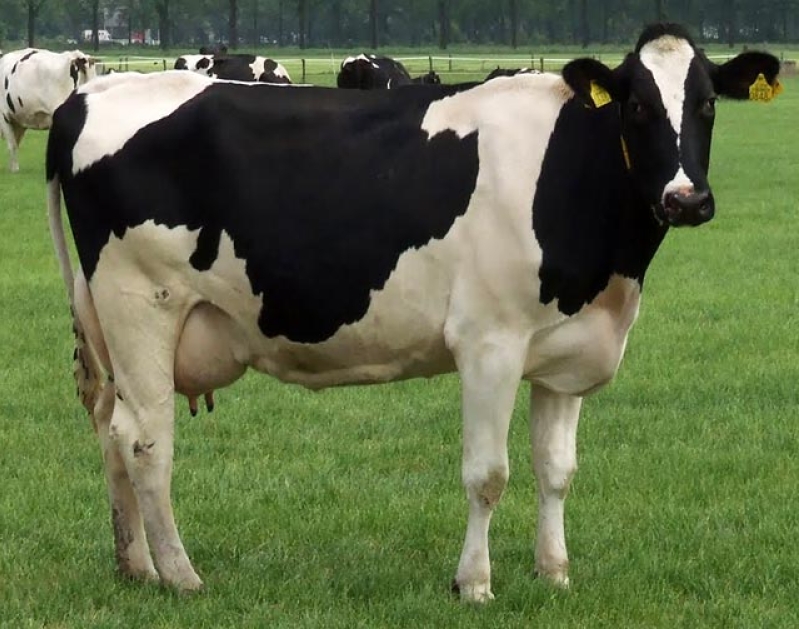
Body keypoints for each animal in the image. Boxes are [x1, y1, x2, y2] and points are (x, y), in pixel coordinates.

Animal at [46, 24, 779, 602]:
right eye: (636, 105)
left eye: (707, 103)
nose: (686, 198)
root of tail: (91, 94)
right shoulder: (489, 344)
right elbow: (488, 474)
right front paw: (474, 583)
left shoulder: (565, 350)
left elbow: (556, 470)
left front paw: (554, 573)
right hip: (141, 305)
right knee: (145, 440)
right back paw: (180, 575)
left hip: (110, 325)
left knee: (110, 429)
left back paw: (136, 567)